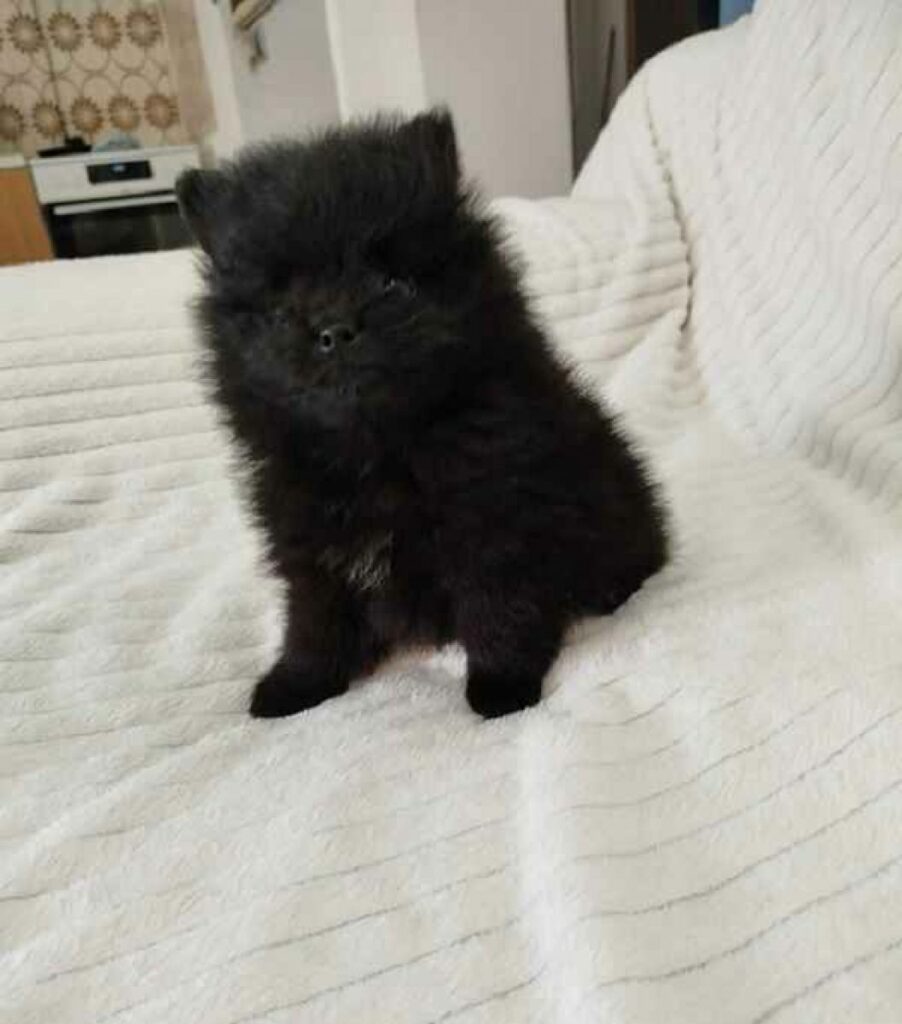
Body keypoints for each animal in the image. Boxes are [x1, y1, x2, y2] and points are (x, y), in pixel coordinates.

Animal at [176, 108, 667, 719]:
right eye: (281, 307)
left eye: (392, 283)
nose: (334, 329)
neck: (374, 450)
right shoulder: (309, 543)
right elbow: (315, 618)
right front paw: (298, 681)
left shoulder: (494, 524)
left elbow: (499, 607)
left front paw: (502, 685)